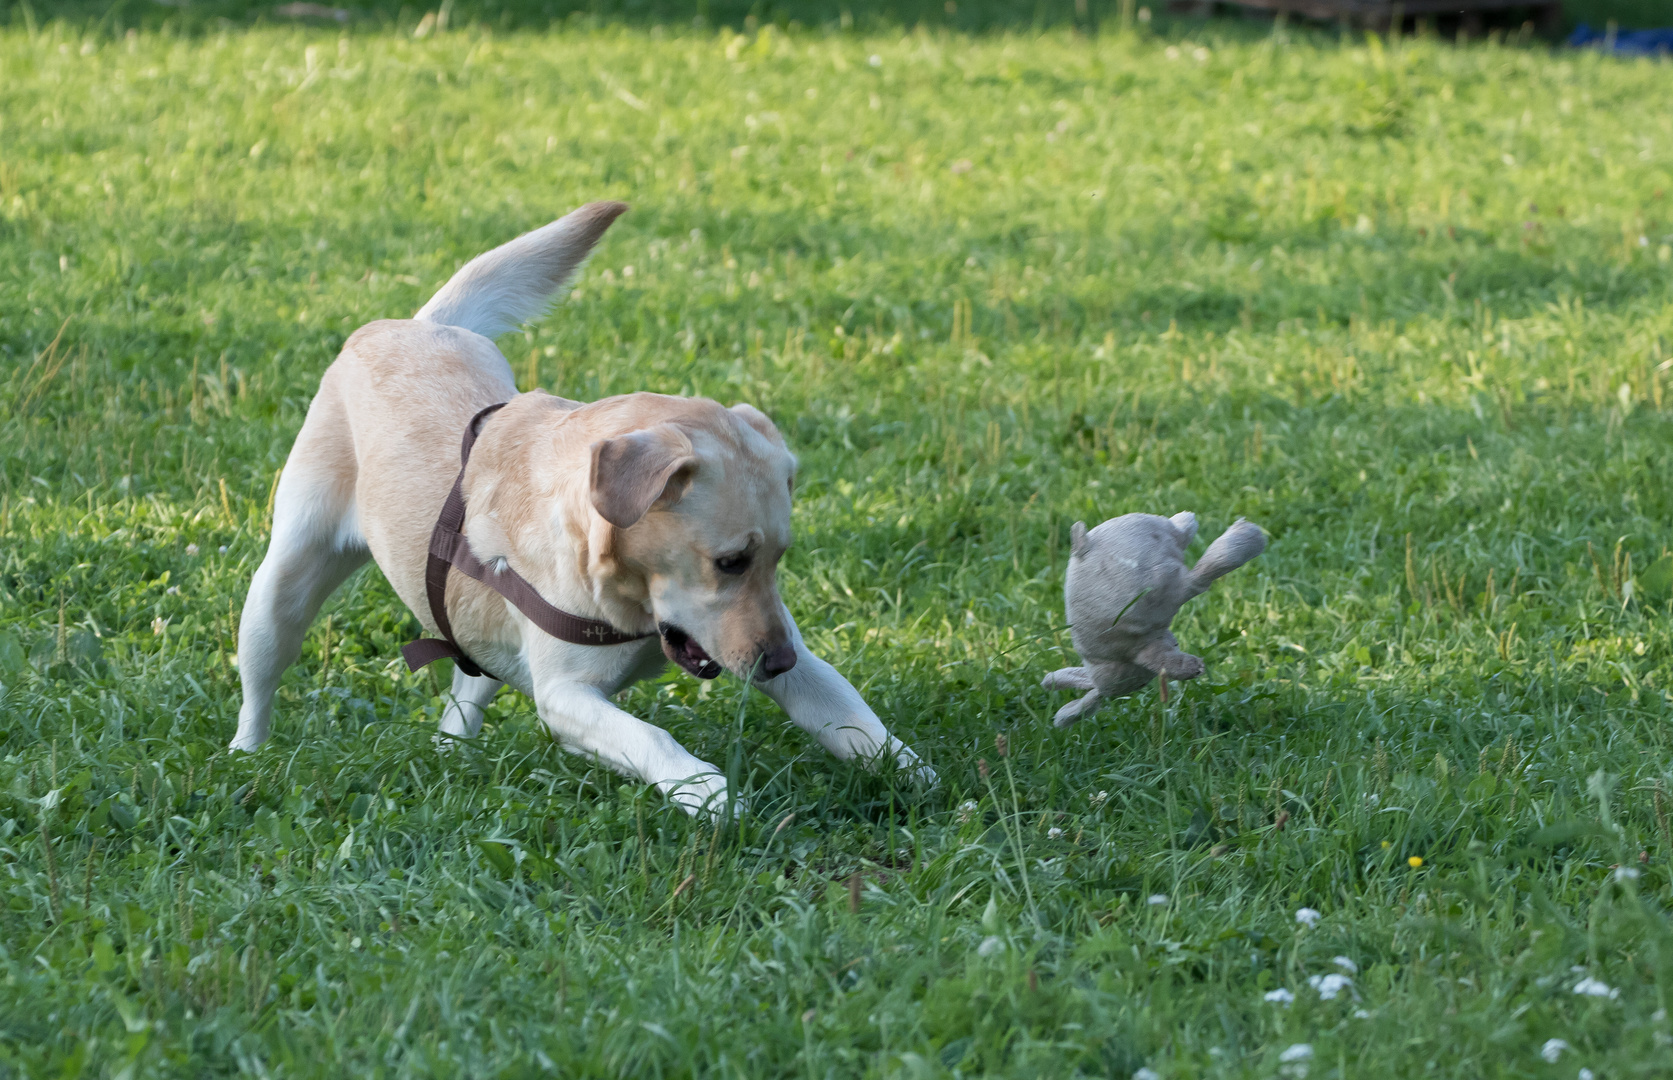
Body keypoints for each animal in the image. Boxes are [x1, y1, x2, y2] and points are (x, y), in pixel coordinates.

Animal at [234, 200, 936, 812]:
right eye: (730, 562)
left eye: (777, 560)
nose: (779, 659)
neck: (635, 602)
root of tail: (416, 324)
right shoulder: (566, 697)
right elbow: (651, 736)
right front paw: (708, 794)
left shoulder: (774, 649)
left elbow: (850, 716)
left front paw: (912, 772)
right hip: (282, 588)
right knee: (261, 679)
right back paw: (247, 757)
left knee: (468, 685)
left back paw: (452, 752)